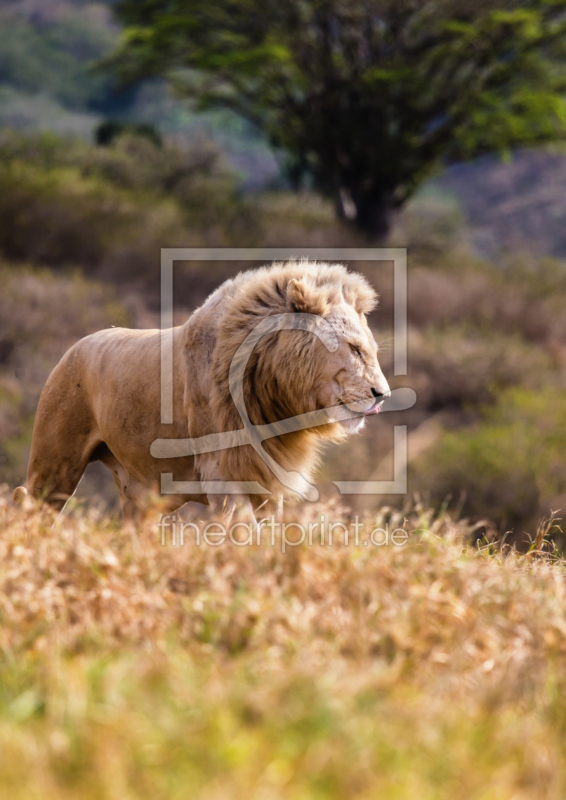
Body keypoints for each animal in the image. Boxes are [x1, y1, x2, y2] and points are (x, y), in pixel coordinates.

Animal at [15, 260, 392, 524]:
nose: (383, 394)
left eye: (370, 350)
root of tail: (71, 349)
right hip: (55, 465)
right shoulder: (220, 474)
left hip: (140, 498)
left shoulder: (265, 479)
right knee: (31, 505)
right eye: (355, 349)